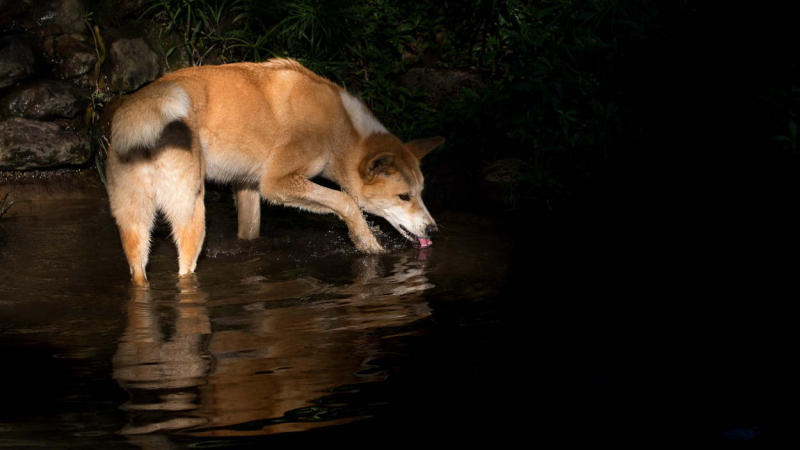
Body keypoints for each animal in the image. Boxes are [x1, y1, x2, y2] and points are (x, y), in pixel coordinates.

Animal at [106, 59, 444, 284]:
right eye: (403, 196)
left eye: (421, 193)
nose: (433, 231)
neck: (339, 129)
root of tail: (144, 102)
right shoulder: (276, 183)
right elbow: (346, 202)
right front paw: (368, 243)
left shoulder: (248, 186)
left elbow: (250, 230)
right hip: (191, 215)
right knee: (184, 271)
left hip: (134, 225)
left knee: (139, 275)